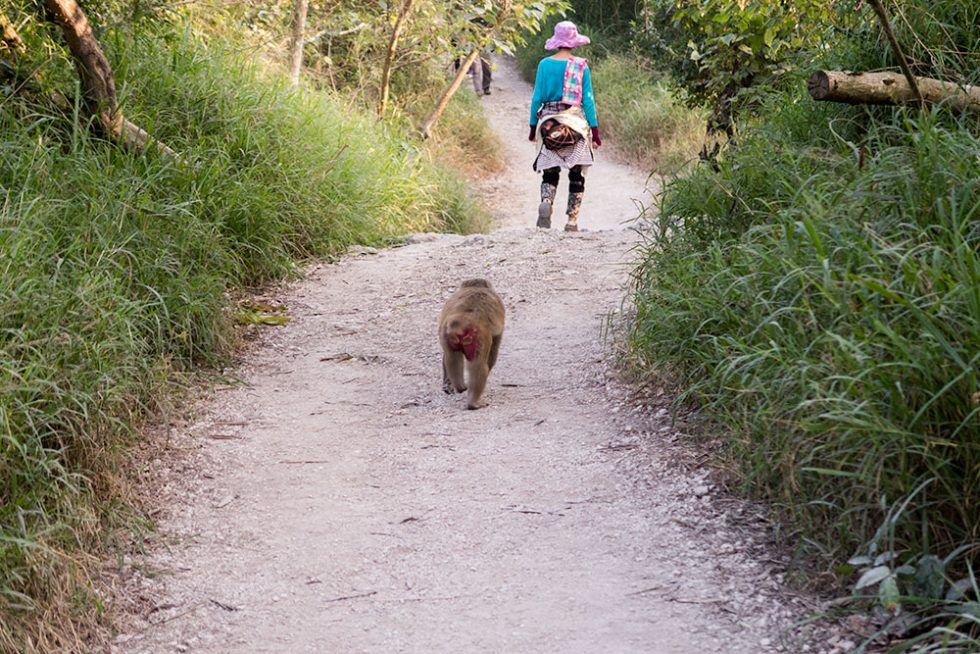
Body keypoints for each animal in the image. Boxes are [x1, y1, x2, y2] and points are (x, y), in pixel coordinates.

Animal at [442, 280, 510, 410]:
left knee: (452, 358)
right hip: (479, 336)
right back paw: (473, 403)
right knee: (478, 365)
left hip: (447, 334)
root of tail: (461, 323)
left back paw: (460, 387)